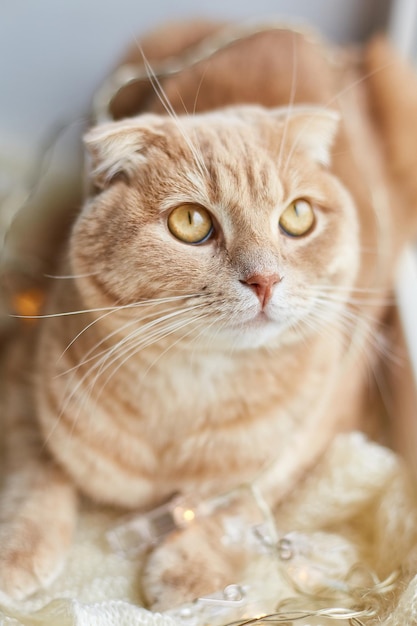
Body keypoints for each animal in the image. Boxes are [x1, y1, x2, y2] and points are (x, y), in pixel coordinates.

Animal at [0, 20, 416, 608]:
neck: (192, 387)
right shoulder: (18, 373)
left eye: (298, 216)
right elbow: (34, 472)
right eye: (191, 222)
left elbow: (237, 504)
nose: (265, 280)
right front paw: (17, 552)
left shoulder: (322, 422)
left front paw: (191, 567)